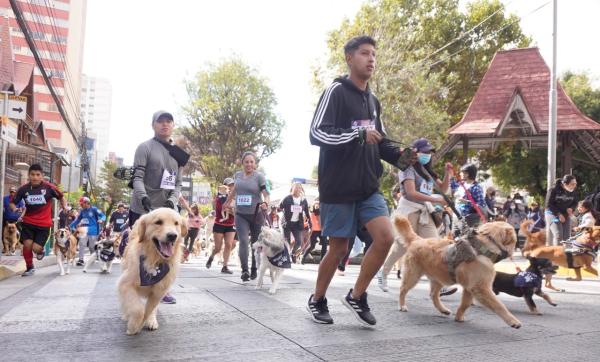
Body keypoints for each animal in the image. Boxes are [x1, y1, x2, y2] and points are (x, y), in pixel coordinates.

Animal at [118, 208, 188, 336]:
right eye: (158, 222)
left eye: (176, 223)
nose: (172, 236)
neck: (154, 261)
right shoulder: (125, 284)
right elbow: (138, 309)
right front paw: (133, 326)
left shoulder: (159, 291)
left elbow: (148, 310)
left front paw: (140, 324)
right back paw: (126, 315)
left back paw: (151, 321)